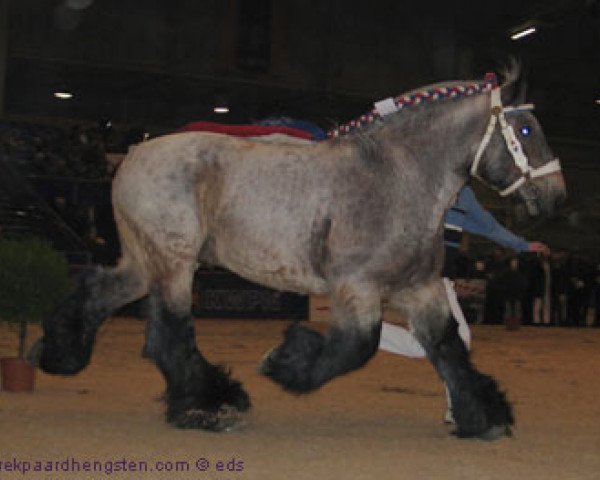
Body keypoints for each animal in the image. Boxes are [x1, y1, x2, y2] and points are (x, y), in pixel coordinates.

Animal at [35, 64, 564, 438]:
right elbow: (356, 347)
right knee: (169, 333)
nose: (555, 197)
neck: (395, 177)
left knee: (99, 291)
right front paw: (285, 362)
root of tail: (133, 156)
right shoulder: (358, 287)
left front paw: (485, 415)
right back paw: (208, 406)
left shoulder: (419, 287)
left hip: (146, 262)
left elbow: (447, 345)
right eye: (525, 131)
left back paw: (58, 353)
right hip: (174, 263)